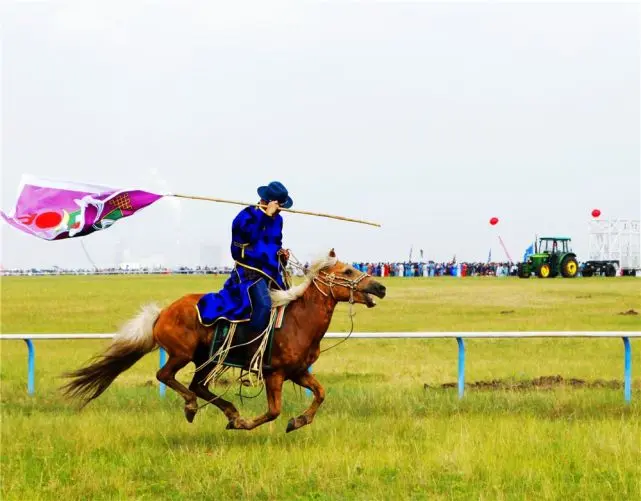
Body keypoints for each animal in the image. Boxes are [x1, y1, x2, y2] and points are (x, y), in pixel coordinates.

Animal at [63, 250, 384, 430]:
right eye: (347, 271)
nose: (380, 287)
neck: (298, 321)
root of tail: (162, 312)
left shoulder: (298, 371)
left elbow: (320, 393)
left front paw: (299, 421)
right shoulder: (275, 373)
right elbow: (273, 411)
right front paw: (247, 423)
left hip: (205, 359)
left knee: (198, 385)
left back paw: (227, 411)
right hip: (182, 354)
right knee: (167, 376)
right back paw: (195, 408)